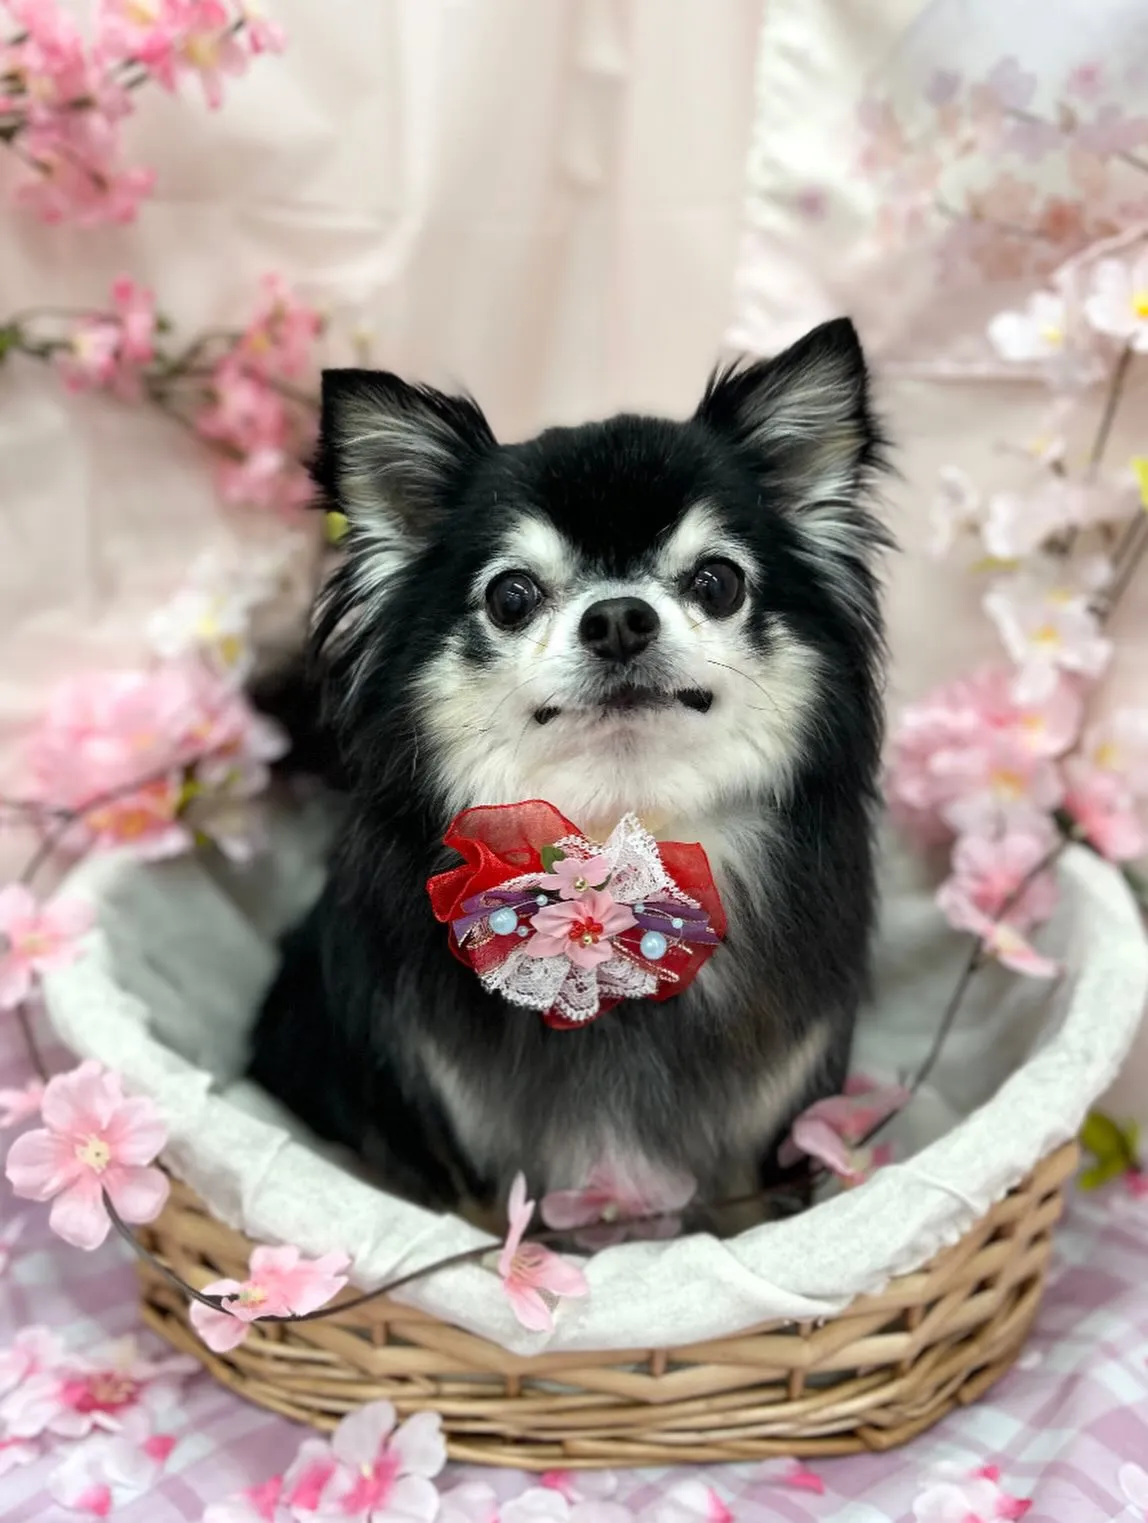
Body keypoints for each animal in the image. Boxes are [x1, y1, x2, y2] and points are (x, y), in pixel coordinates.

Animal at [247, 317, 891, 1223]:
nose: (618, 617)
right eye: (511, 595)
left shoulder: (755, 1144)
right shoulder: (467, 1157)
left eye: (718, 581)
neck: (617, 822)